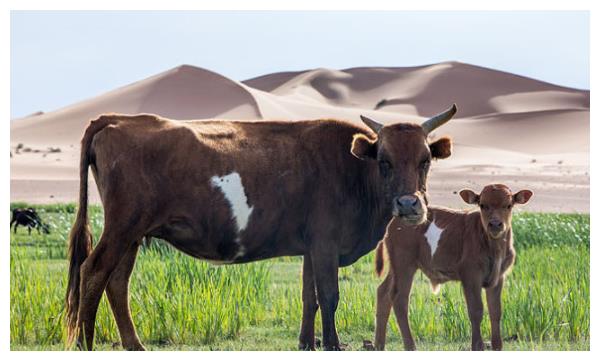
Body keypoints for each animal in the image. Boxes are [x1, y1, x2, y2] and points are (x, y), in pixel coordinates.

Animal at [65, 103, 458, 348]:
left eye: (425, 160)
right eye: (385, 161)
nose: (408, 205)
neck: (352, 169)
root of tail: (117, 118)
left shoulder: (310, 247)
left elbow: (309, 297)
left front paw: (306, 343)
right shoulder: (326, 243)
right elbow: (329, 296)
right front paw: (332, 345)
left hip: (133, 234)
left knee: (117, 282)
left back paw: (135, 346)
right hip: (122, 227)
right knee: (94, 271)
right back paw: (85, 343)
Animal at [376, 183, 536, 348]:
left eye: (508, 205)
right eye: (483, 205)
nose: (495, 224)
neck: (495, 247)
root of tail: (395, 220)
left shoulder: (499, 277)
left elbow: (496, 311)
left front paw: (497, 346)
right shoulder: (470, 275)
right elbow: (476, 310)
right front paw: (477, 346)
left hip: (396, 265)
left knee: (384, 292)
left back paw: (379, 346)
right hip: (404, 263)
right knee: (400, 299)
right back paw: (410, 347)